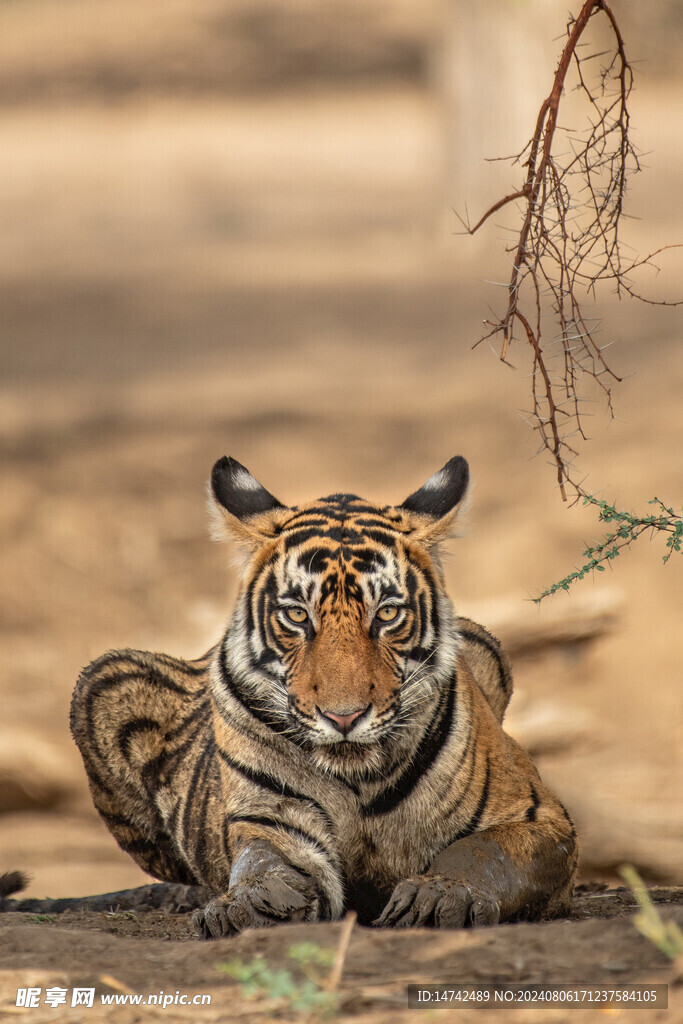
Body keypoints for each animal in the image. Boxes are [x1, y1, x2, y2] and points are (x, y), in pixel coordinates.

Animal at [57, 455, 576, 936]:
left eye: (387, 614)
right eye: (297, 615)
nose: (344, 717)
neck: (358, 778)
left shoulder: (541, 819)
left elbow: (482, 850)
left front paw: (440, 897)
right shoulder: (271, 821)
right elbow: (262, 861)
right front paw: (250, 903)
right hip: (103, 677)